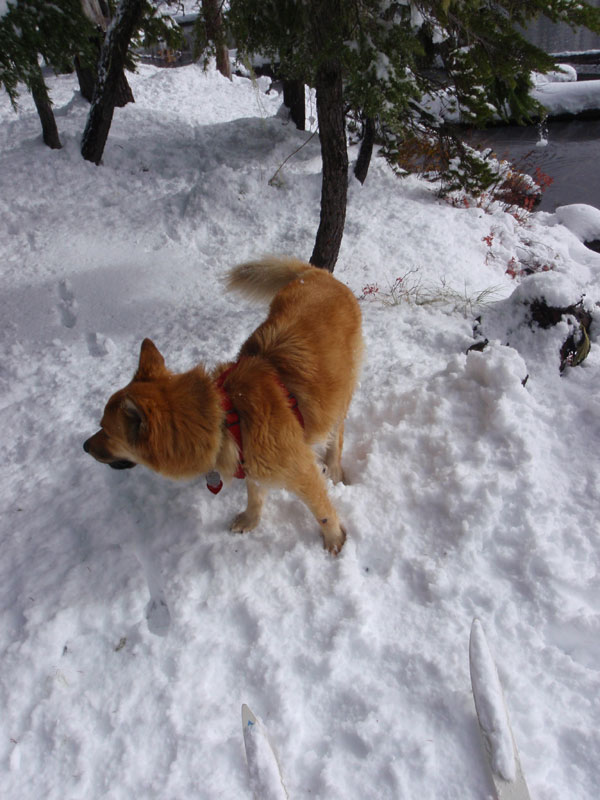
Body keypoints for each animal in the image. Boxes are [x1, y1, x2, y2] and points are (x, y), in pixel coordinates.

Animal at [83, 260, 360, 552]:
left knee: (337, 433)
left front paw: (335, 539)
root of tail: (318, 274)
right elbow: (254, 493)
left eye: (106, 431)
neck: (228, 416)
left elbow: (323, 511)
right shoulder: (250, 463)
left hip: (338, 394)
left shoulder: (301, 472)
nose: (84, 446)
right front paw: (251, 518)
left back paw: (334, 467)